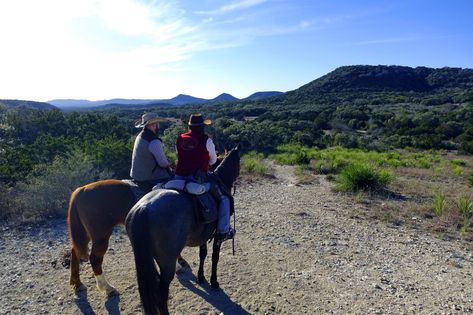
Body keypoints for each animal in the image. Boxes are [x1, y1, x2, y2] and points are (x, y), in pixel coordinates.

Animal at [125, 146, 240, 315]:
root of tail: (143, 209)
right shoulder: (217, 237)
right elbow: (214, 257)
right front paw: (214, 282)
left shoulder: (203, 235)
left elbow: (203, 254)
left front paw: (201, 277)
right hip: (167, 262)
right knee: (161, 293)